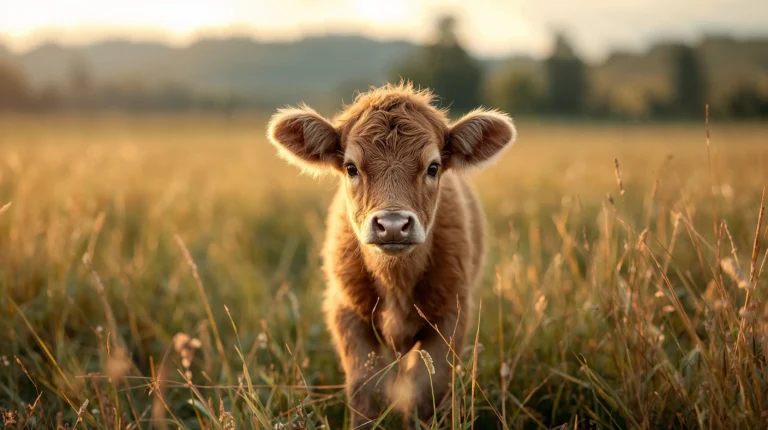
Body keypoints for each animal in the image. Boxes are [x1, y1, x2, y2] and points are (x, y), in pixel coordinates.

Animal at [267, 82, 516, 427]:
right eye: (351, 168)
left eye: (433, 167)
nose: (393, 225)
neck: (395, 279)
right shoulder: (346, 312)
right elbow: (365, 390)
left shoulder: (450, 317)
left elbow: (426, 391)